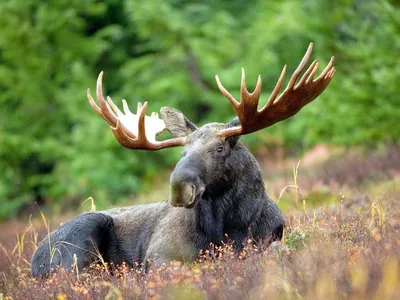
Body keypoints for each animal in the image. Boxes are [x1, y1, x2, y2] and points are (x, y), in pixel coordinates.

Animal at [32, 42, 336, 276]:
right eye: (183, 152)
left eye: (219, 148)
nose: (179, 187)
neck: (231, 227)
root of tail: (34, 261)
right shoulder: (160, 255)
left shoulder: (272, 238)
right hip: (79, 241)